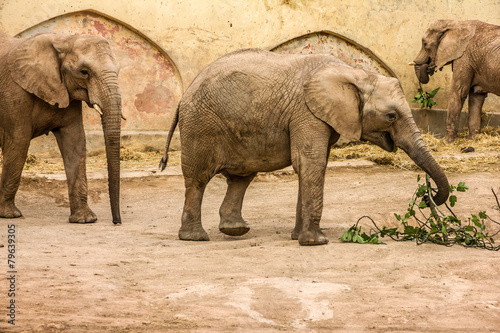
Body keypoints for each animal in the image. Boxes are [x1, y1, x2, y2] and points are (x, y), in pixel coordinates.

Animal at [0, 31, 124, 223]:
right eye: (84, 72)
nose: (116, 222)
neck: (62, 39)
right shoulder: (14, 94)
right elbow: (18, 143)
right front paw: (9, 215)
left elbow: (75, 143)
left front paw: (84, 219)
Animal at [160, 48, 450, 244]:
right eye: (391, 116)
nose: (427, 196)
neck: (354, 74)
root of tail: (183, 97)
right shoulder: (307, 112)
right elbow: (312, 163)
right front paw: (315, 242)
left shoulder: (320, 116)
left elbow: (308, 165)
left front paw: (298, 237)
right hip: (201, 125)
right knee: (198, 179)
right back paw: (195, 237)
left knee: (241, 178)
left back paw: (236, 231)